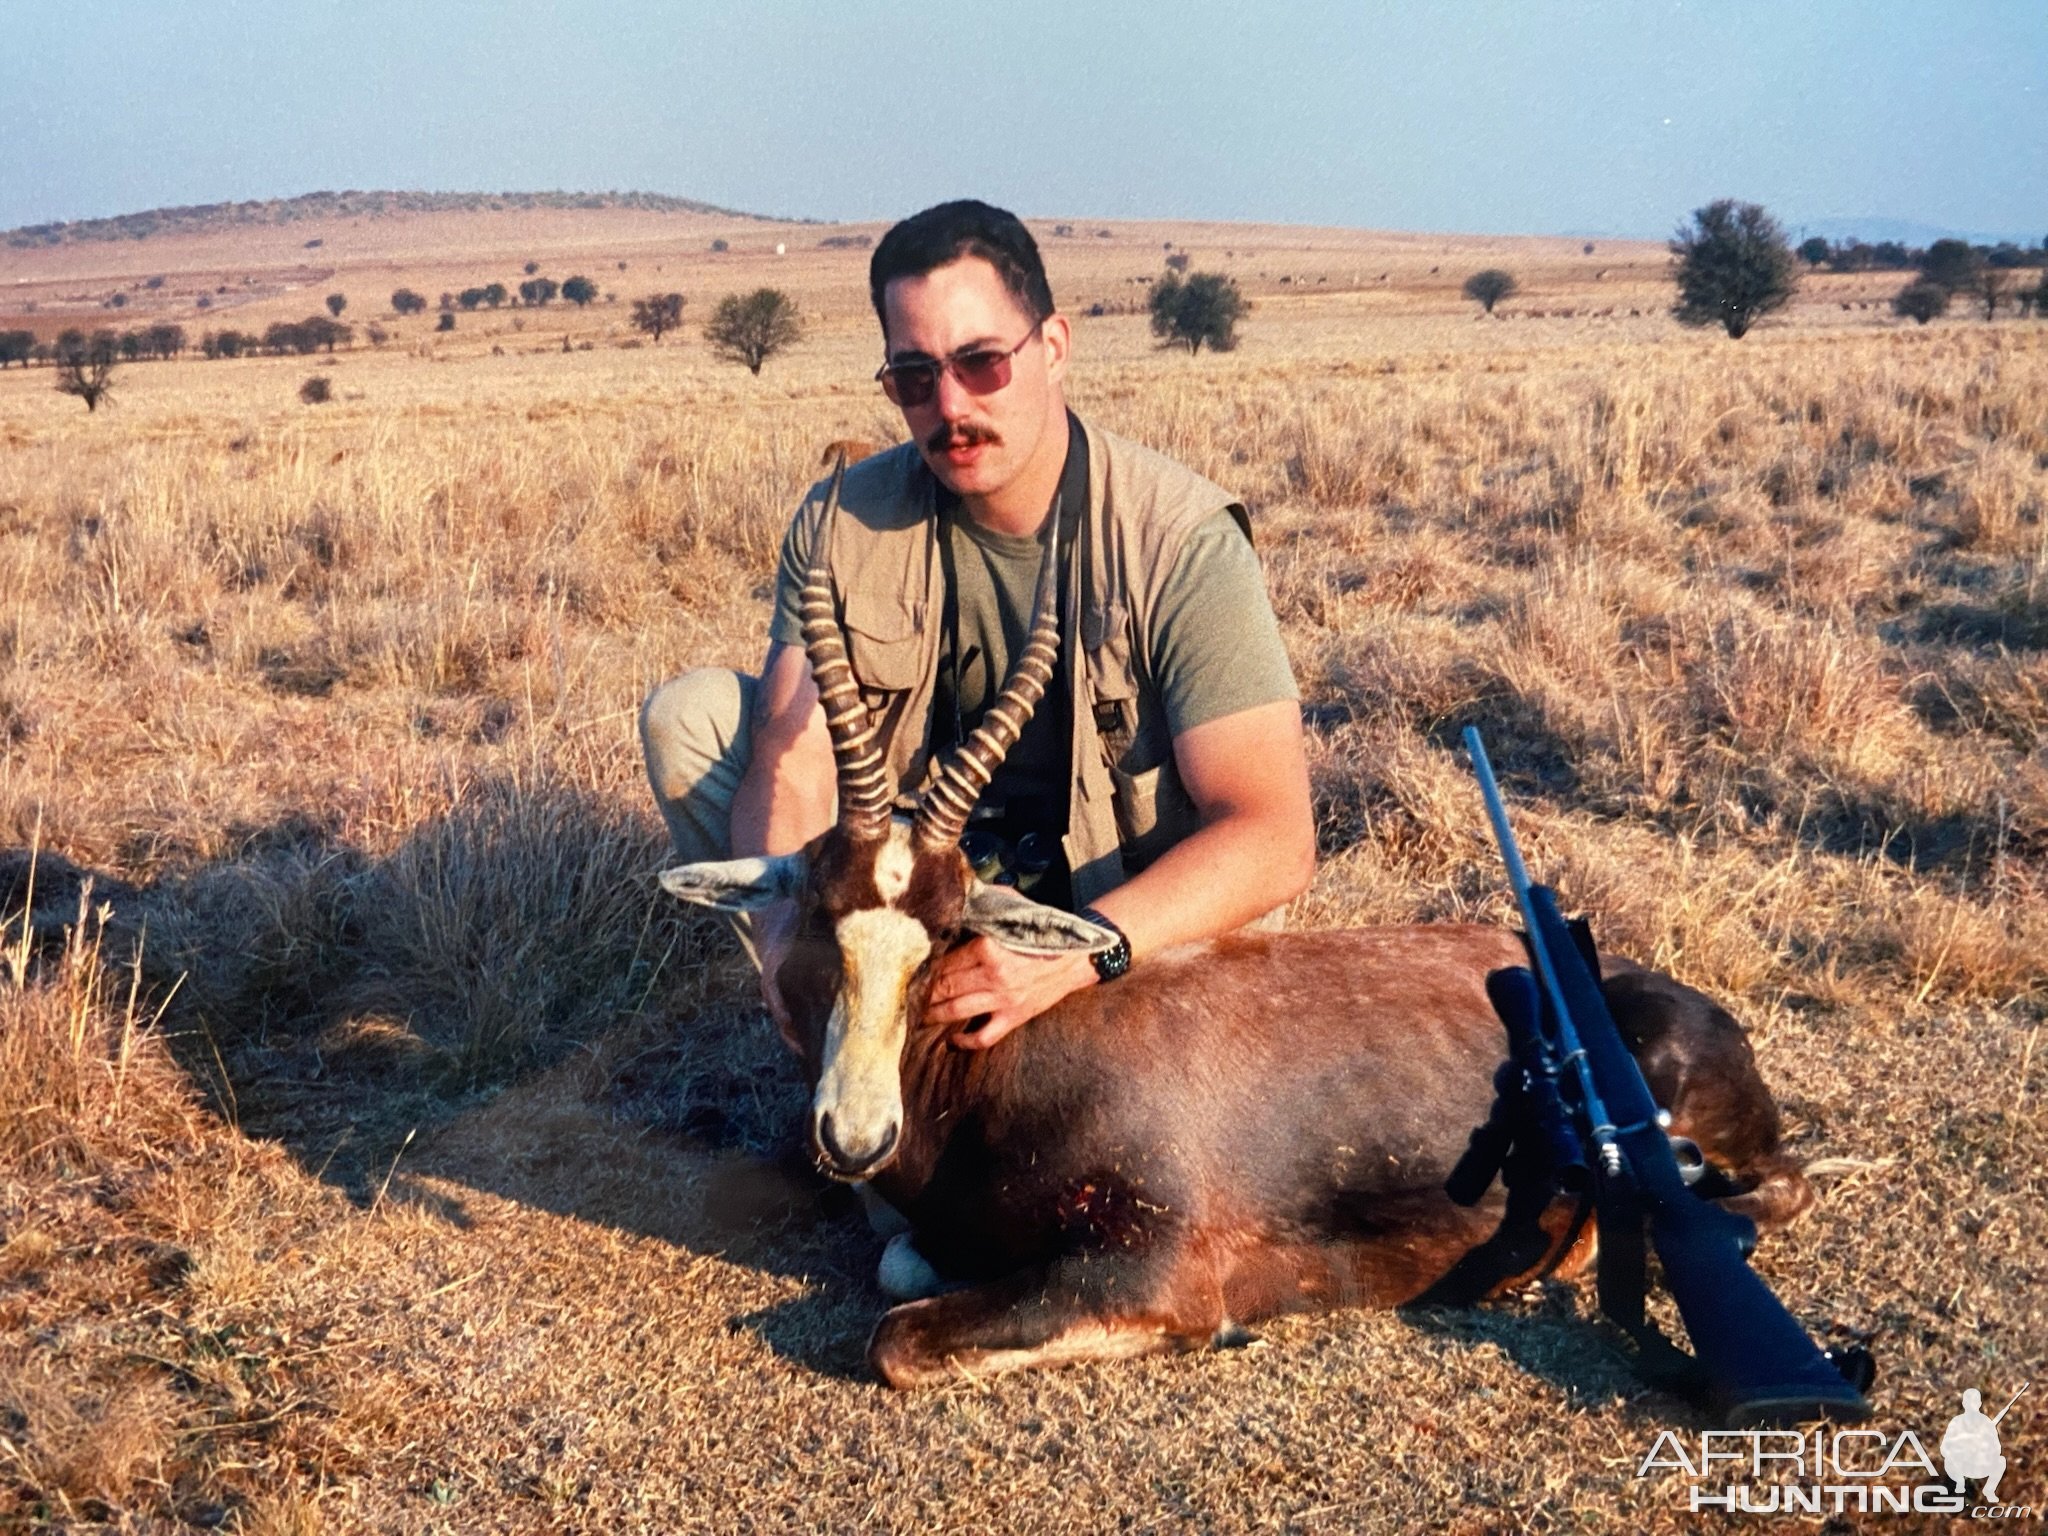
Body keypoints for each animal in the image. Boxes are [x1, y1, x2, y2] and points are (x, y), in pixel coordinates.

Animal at [663, 462, 1818, 1392]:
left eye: (947, 932)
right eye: (823, 913)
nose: (854, 1137)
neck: (1007, 1054)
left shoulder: (1156, 1265)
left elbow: (898, 1339)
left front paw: (1230, 1334)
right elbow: (901, 1263)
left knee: (1774, 1192)